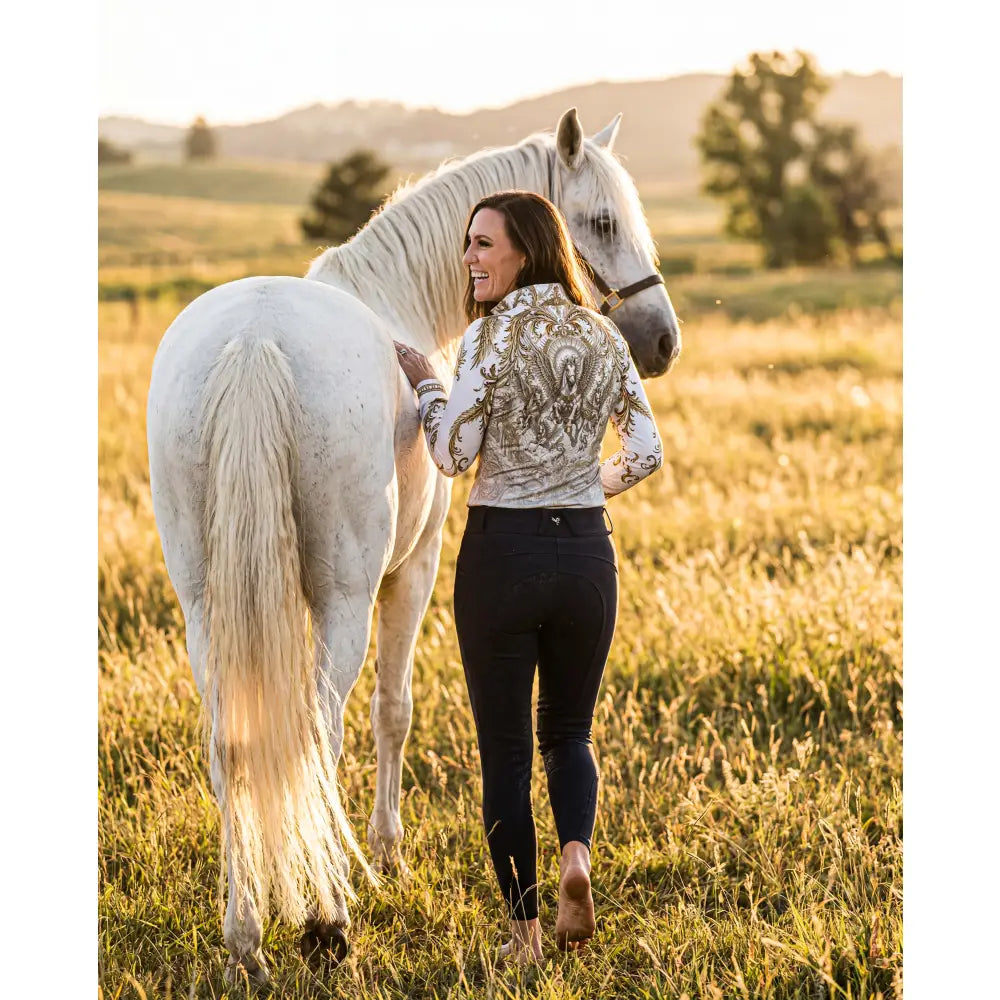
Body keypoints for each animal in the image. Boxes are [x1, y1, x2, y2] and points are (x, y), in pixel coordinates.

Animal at [146, 106, 681, 983]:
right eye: (601, 222)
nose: (662, 341)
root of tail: (255, 342)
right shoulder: (414, 570)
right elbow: (392, 711)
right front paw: (387, 855)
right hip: (344, 601)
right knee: (319, 737)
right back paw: (327, 922)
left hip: (202, 607)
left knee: (232, 747)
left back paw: (246, 940)